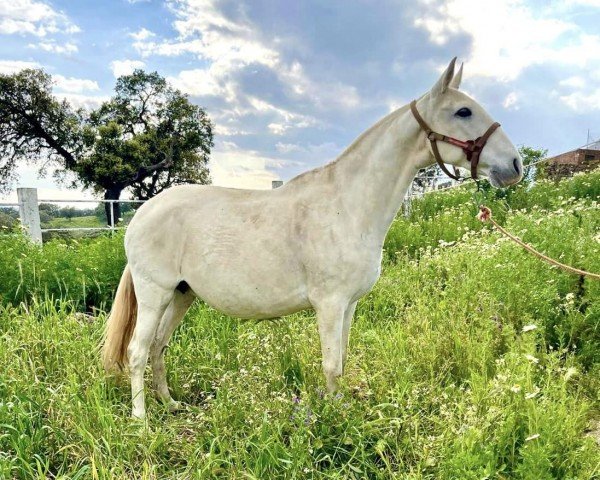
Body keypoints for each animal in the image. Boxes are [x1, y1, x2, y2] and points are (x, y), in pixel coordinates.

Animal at [102, 58, 520, 418]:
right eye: (463, 112)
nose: (514, 165)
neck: (348, 206)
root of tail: (141, 215)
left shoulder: (349, 305)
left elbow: (343, 360)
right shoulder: (330, 304)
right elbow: (332, 365)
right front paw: (336, 423)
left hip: (182, 294)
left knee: (158, 347)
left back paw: (170, 404)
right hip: (155, 293)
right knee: (138, 351)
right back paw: (141, 421)